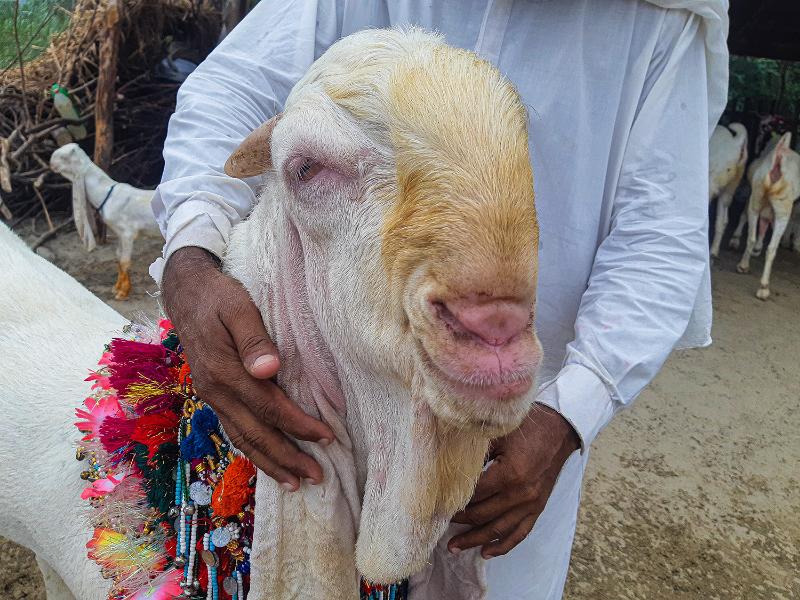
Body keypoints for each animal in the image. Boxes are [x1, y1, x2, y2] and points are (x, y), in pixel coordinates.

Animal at [49, 143, 161, 300]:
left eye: (63, 156)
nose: (51, 163)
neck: (107, 195)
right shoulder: (119, 233)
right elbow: (118, 257)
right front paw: (116, 288)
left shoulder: (128, 233)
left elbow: (125, 261)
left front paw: (122, 293)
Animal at [736, 132, 800, 299]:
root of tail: (779, 156)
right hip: (783, 206)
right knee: (771, 248)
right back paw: (764, 288)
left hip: (757, 195)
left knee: (751, 235)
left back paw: (743, 266)